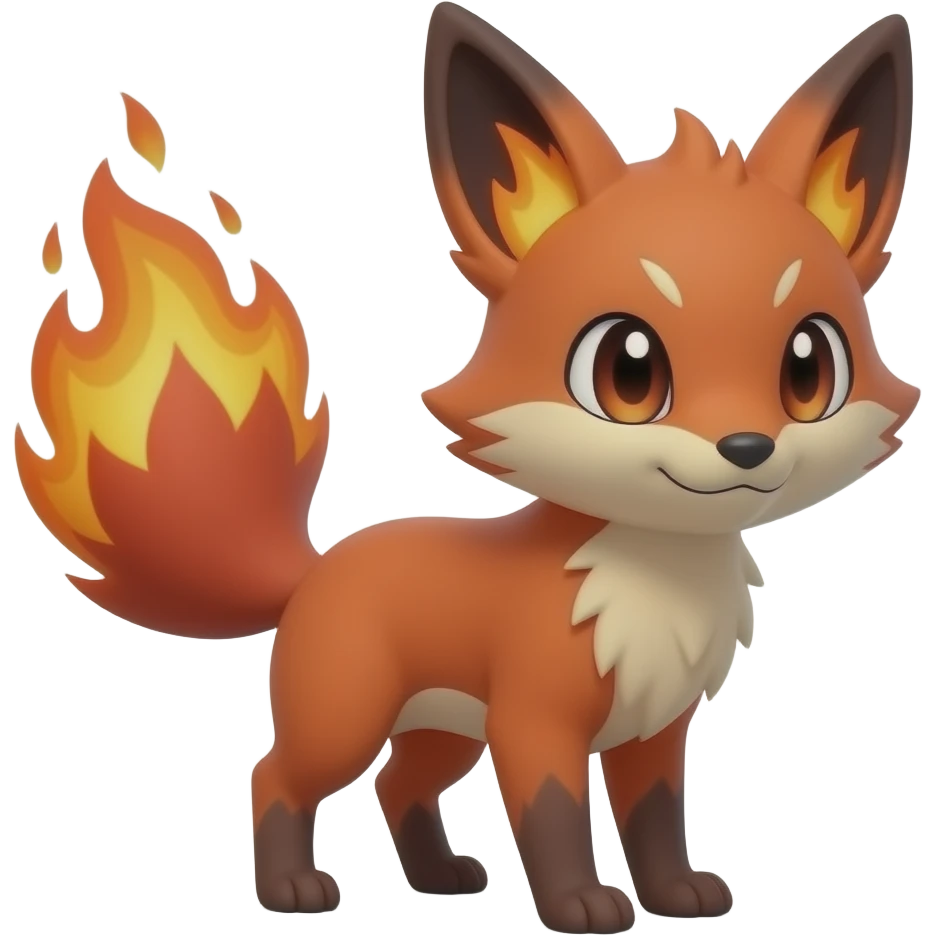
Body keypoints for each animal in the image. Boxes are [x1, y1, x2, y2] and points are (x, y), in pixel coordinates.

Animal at [14, 4, 920, 933]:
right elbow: (554, 814)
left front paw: (674, 894)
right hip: (348, 713)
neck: (652, 576)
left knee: (395, 783)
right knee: (276, 775)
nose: (746, 447)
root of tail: (316, 567)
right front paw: (578, 904)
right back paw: (292, 890)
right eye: (628, 374)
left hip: (443, 729)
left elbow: (655, 819)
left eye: (808, 370)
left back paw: (437, 876)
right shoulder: (532, 721)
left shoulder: (651, 731)